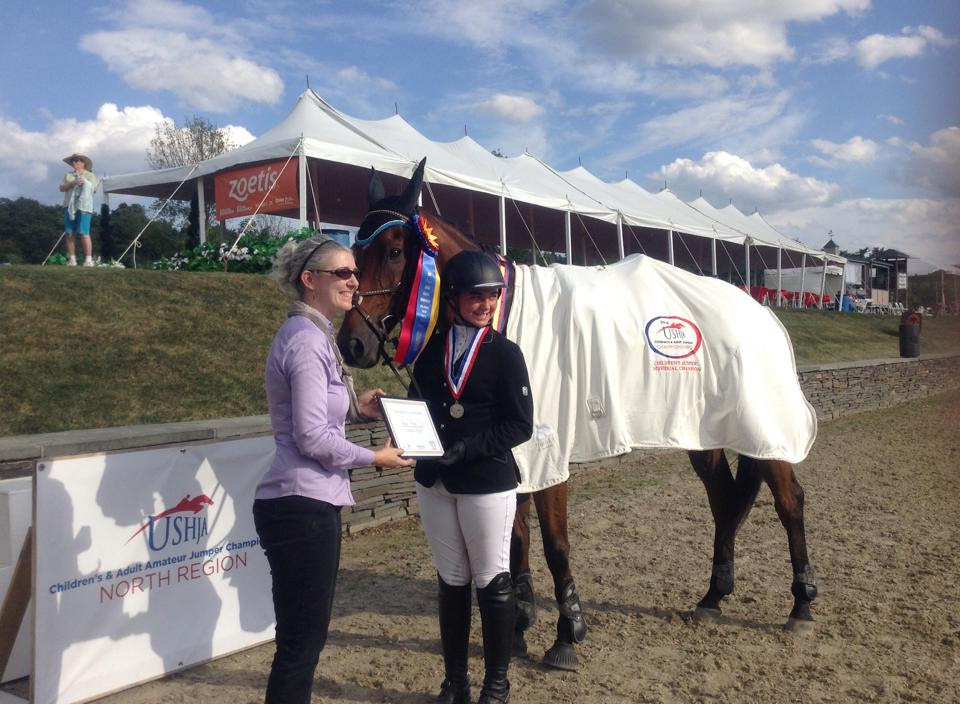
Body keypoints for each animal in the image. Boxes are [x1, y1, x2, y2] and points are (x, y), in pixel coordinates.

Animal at [337, 158, 819, 671]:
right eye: (354, 249)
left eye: (393, 250)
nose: (353, 345)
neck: (502, 316)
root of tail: (763, 315)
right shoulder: (514, 457)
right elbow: (516, 541)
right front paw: (518, 626)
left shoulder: (545, 453)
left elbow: (555, 544)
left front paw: (567, 634)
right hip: (700, 433)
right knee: (724, 500)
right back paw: (713, 596)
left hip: (764, 429)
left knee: (789, 502)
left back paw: (801, 605)